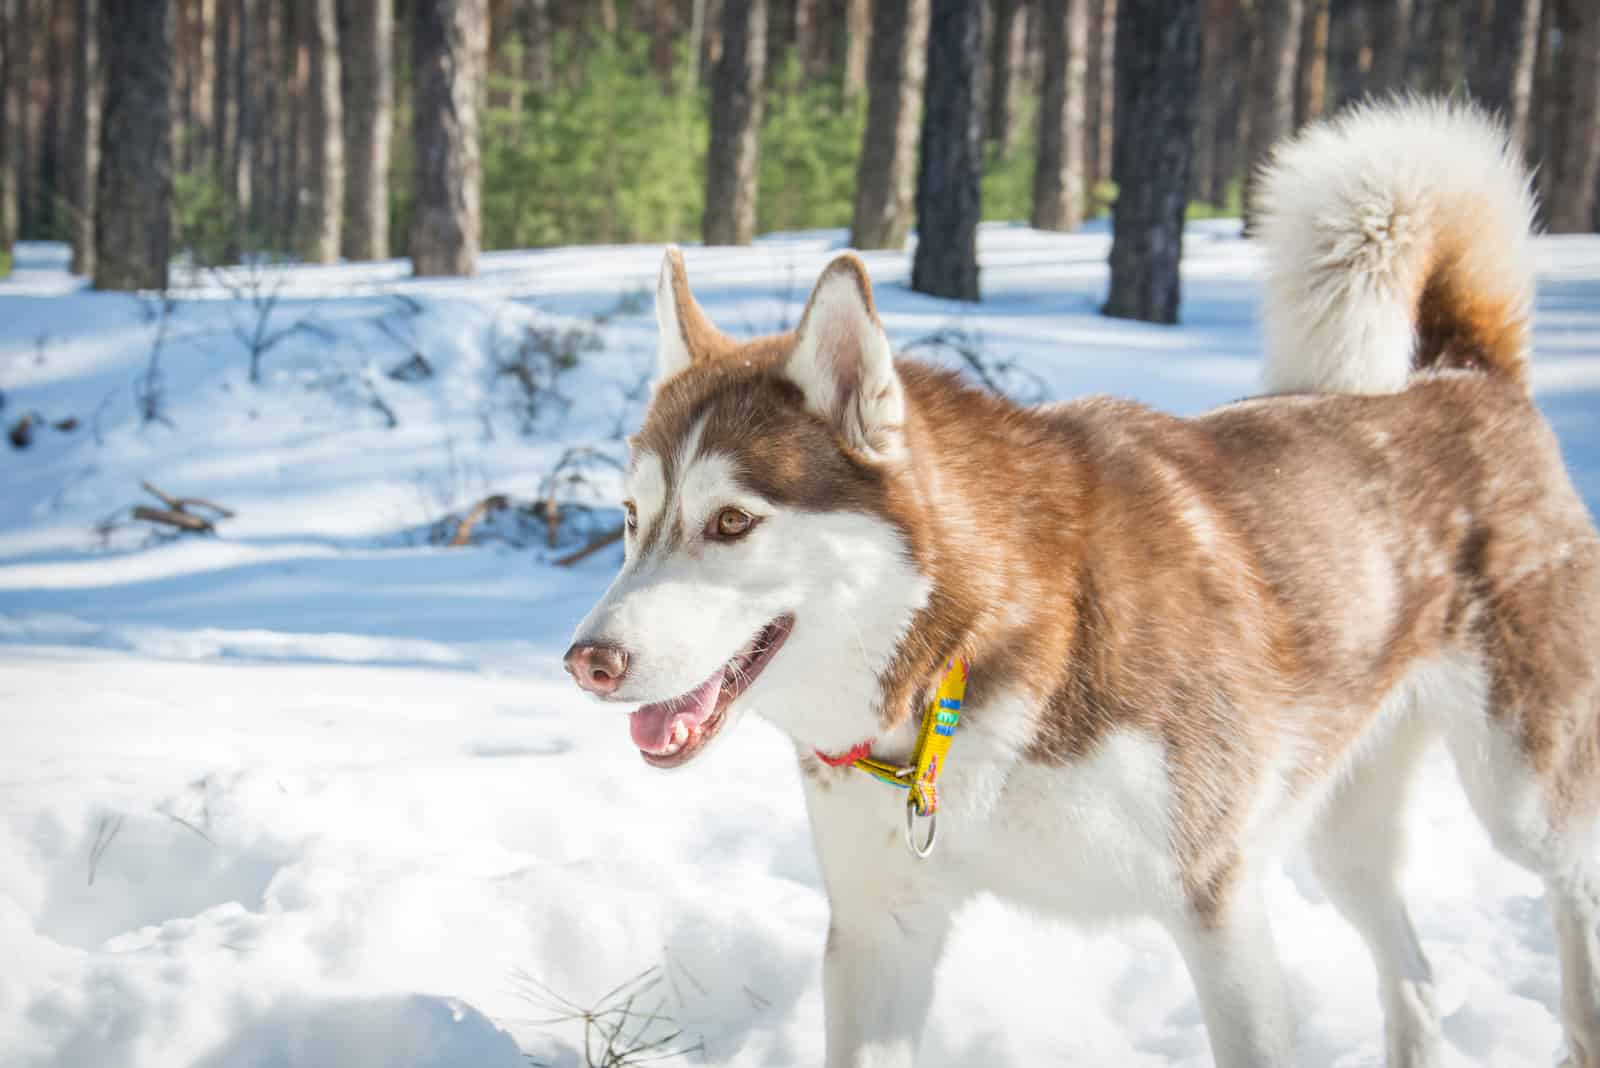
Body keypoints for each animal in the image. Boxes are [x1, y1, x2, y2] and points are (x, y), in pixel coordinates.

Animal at [566, 102, 1600, 1068]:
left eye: (731, 522)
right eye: (630, 517)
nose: (588, 662)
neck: (961, 662)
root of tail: (1466, 374)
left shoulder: (1217, 907)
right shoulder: (879, 933)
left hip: (1521, 799)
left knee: (1568, 888)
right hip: (1338, 835)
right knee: (1413, 972)